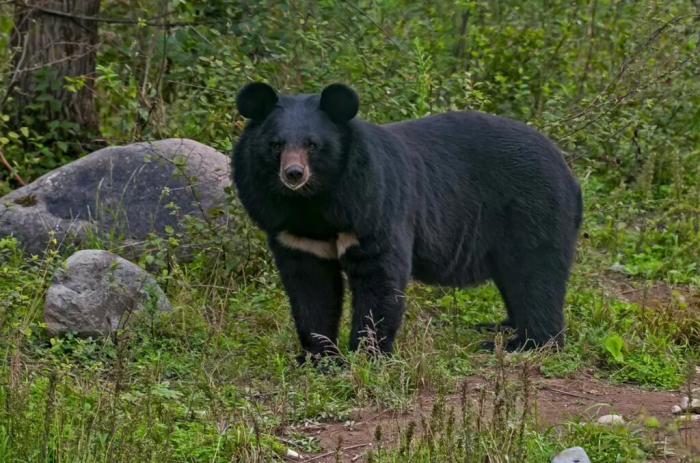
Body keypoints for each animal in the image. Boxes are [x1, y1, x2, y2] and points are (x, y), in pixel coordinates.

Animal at [232, 82, 584, 366]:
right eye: (276, 145)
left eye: (312, 145)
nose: (294, 174)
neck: (313, 203)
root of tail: (568, 171)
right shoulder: (293, 231)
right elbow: (310, 286)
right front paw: (317, 356)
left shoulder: (371, 205)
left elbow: (379, 276)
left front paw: (366, 354)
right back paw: (500, 326)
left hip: (533, 210)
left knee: (535, 275)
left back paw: (525, 343)